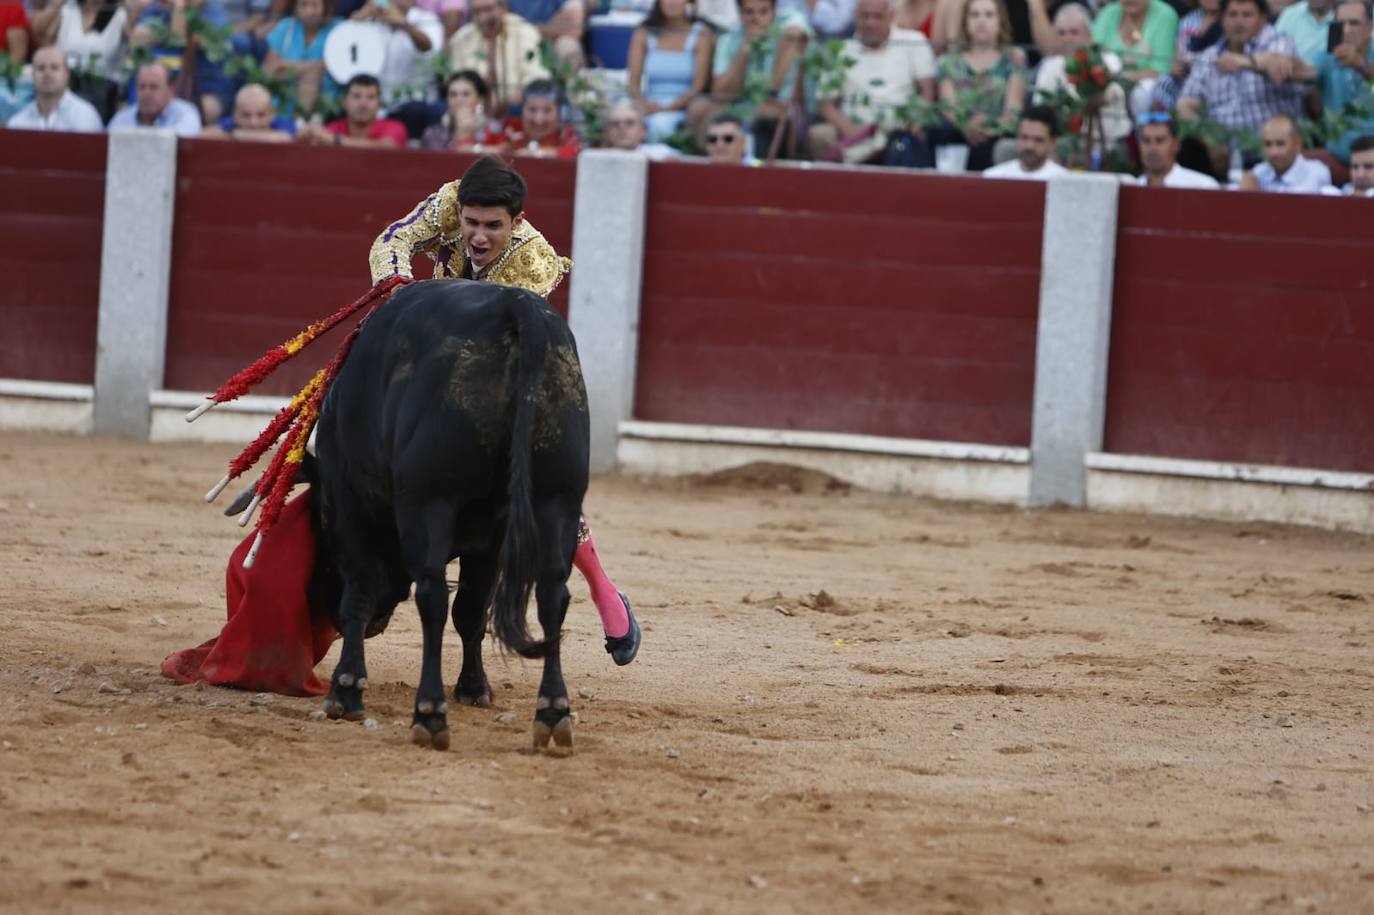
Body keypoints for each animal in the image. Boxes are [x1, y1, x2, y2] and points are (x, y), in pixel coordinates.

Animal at [306, 277, 585, 747]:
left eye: (319, 524)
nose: (319, 604)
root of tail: (517, 306)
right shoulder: (491, 539)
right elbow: (471, 611)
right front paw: (474, 688)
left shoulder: (351, 503)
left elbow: (360, 591)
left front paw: (345, 690)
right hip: (559, 498)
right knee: (552, 594)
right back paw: (552, 711)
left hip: (429, 500)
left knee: (432, 594)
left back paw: (430, 713)